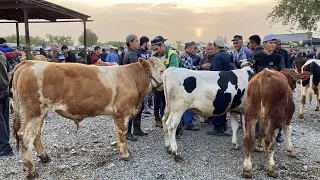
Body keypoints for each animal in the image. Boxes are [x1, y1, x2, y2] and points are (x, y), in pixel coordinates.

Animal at [11, 57, 165, 179]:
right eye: (162, 71)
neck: (132, 78)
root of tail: (29, 62)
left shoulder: (116, 115)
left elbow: (117, 133)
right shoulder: (122, 112)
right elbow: (122, 134)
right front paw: (125, 154)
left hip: (41, 114)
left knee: (37, 134)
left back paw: (44, 157)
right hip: (34, 112)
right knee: (25, 137)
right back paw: (32, 172)